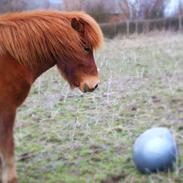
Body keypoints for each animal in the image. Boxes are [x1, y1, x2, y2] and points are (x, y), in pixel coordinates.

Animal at [0, 10, 103, 183]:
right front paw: (10, 178)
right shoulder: (7, 109)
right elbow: (7, 145)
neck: (11, 58)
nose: (94, 84)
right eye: (86, 48)